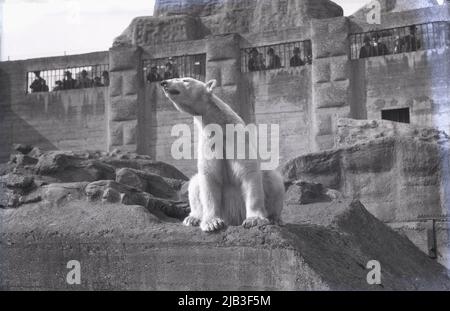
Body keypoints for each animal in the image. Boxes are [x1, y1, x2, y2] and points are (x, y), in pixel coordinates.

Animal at [160, 77, 284, 234]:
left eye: (185, 80)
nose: (164, 83)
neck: (220, 127)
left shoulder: (237, 140)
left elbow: (248, 173)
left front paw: (254, 220)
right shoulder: (208, 143)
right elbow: (209, 177)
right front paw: (212, 223)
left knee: (274, 179)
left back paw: (275, 218)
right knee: (194, 183)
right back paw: (192, 218)